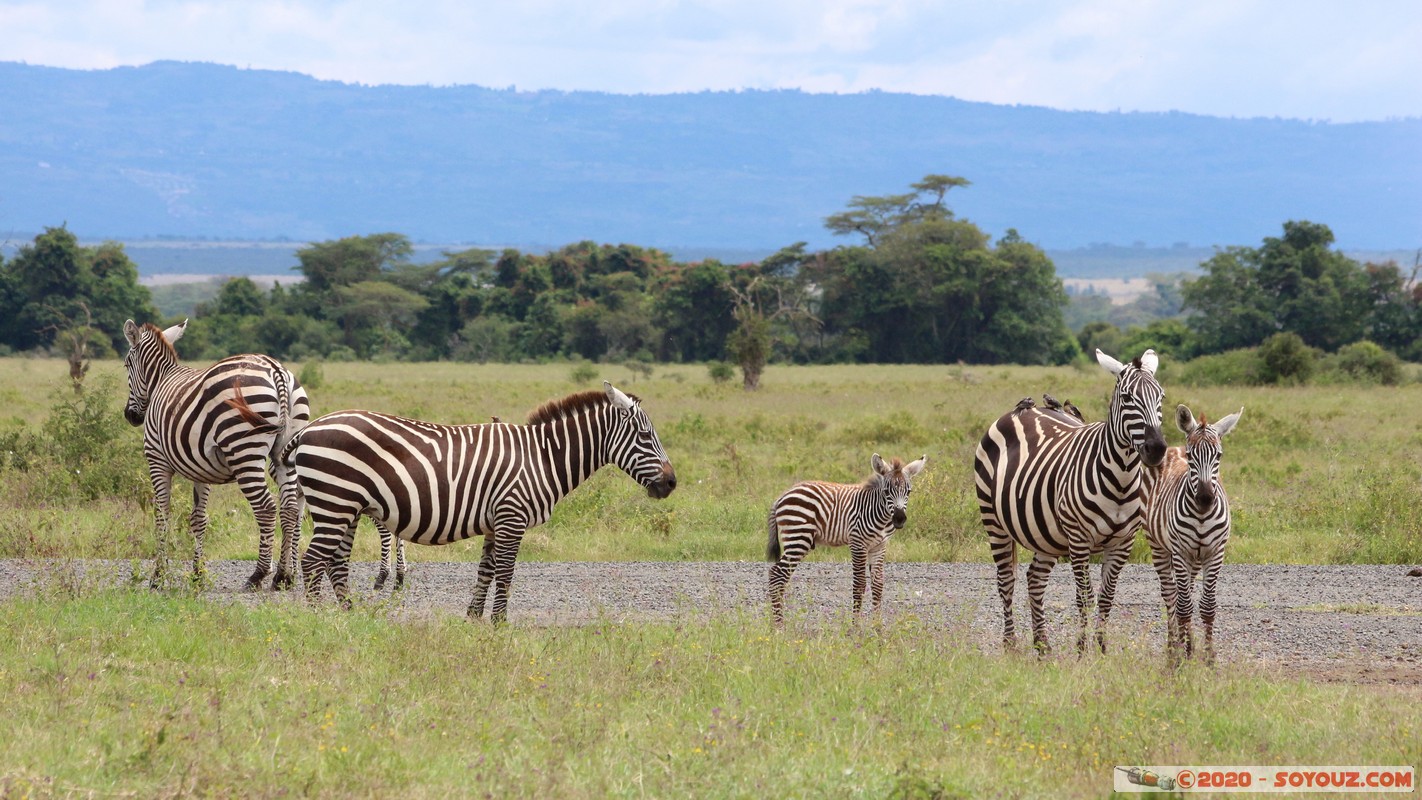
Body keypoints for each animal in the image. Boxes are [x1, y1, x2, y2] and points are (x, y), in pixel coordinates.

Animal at [123, 318, 309, 588]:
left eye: (126, 365)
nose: (130, 416)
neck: (161, 379)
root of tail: (276, 370)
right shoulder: (200, 466)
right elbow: (198, 518)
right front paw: (198, 574)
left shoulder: (156, 458)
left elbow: (162, 514)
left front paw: (158, 575)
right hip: (285, 453)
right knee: (291, 508)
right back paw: (283, 577)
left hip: (244, 451)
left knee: (266, 508)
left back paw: (259, 574)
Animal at [287, 380, 676, 619]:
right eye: (645, 435)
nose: (671, 483)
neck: (543, 457)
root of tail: (309, 428)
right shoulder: (512, 516)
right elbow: (505, 573)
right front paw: (500, 623)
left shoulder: (495, 521)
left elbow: (486, 571)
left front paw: (474, 619)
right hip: (335, 503)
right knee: (312, 562)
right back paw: (319, 617)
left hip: (346, 508)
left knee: (335, 564)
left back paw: (349, 615)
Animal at [767, 454, 932, 628]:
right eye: (887, 491)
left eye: (908, 491)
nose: (899, 519)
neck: (878, 513)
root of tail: (783, 495)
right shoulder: (858, 544)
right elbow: (859, 585)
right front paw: (855, 629)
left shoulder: (879, 546)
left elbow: (878, 585)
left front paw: (878, 628)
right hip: (798, 538)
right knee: (777, 575)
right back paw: (779, 627)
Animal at [978, 348, 1166, 653]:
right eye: (1127, 398)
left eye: (1161, 396)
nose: (1156, 449)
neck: (1121, 478)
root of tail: (1028, 408)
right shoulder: (1079, 539)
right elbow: (1084, 597)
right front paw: (1082, 652)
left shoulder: (1123, 542)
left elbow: (1106, 597)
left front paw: (1101, 651)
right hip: (993, 521)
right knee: (1006, 580)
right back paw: (1010, 645)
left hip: (1045, 534)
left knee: (1035, 579)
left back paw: (1042, 646)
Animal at [1137, 403, 1239, 667]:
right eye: (1192, 456)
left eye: (1218, 456)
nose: (1205, 499)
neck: (1202, 515)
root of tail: (1173, 448)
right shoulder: (1180, 552)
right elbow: (1182, 606)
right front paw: (1181, 657)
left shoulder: (1215, 553)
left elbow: (1207, 606)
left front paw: (1209, 659)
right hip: (1159, 547)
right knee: (1171, 596)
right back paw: (1174, 648)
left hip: (1195, 557)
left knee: (1186, 593)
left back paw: (1188, 646)